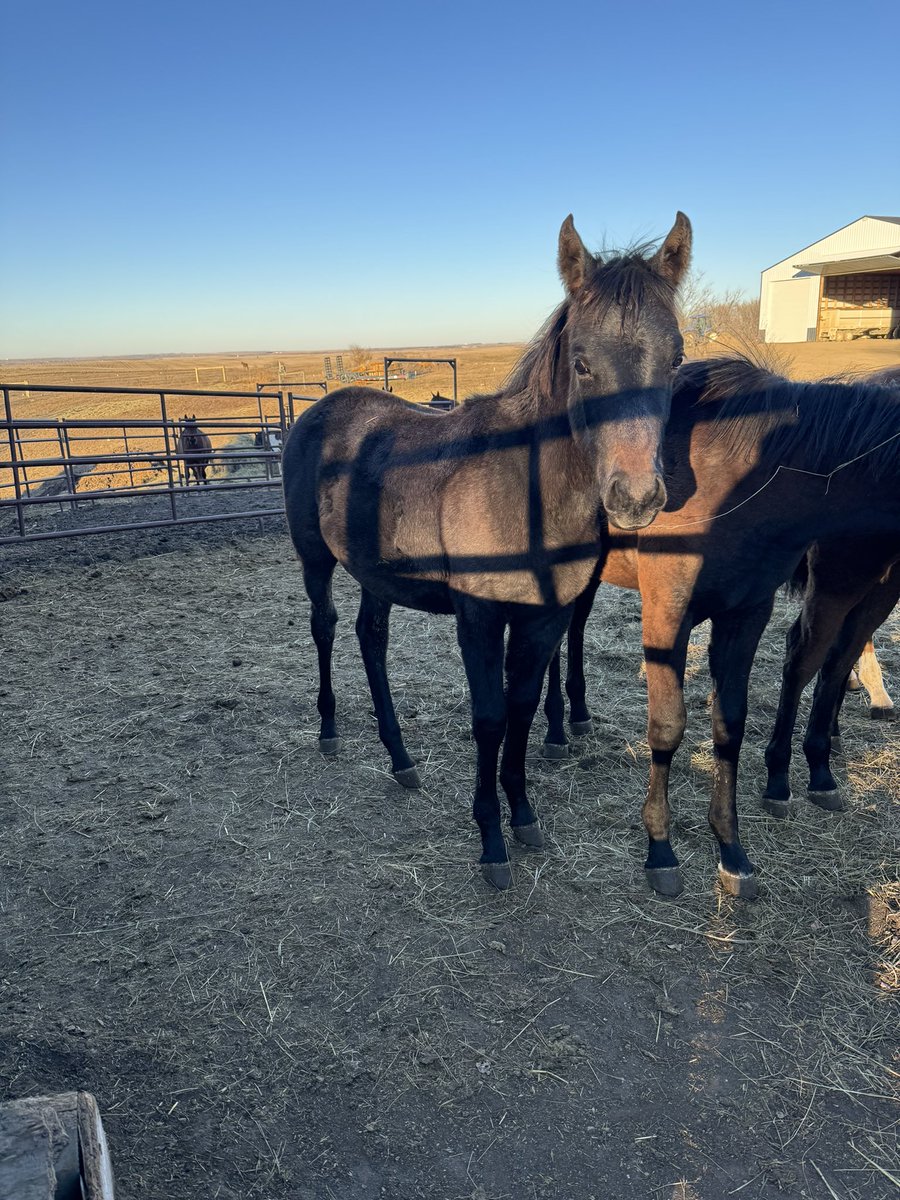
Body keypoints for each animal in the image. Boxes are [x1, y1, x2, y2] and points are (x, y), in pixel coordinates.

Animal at [281, 212, 692, 888]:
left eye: (677, 358)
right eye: (582, 364)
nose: (635, 496)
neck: (525, 490)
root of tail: (319, 410)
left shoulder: (546, 617)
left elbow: (522, 709)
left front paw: (523, 814)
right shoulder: (478, 616)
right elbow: (491, 717)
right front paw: (491, 840)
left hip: (376, 574)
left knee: (371, 638)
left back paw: (400, 757)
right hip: (315, 558)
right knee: (325, 625)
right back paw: (330, 728)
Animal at [541, 357, 900, 898]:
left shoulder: (747, 613)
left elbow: (730, 724)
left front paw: (732, 851)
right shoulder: (668, 613)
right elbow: (668, 726)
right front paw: (661, 849)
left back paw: (575, 715)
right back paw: (555, 729)